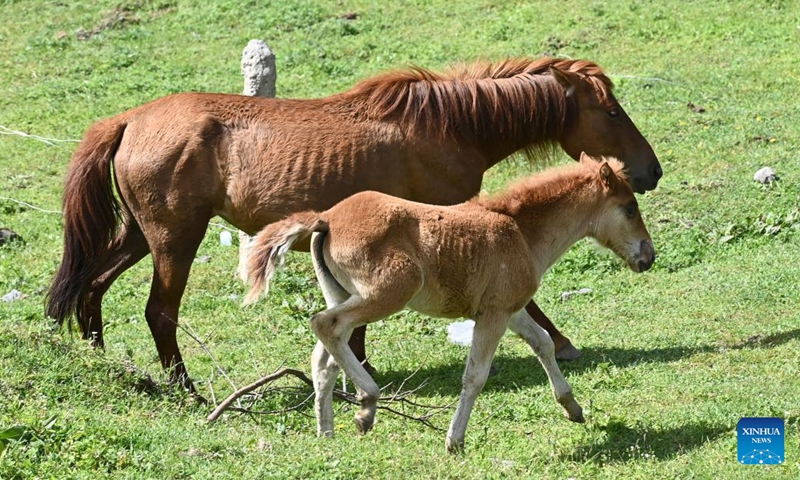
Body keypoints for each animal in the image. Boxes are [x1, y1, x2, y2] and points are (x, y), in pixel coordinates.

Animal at [46, 57, 661, 394]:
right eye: (611, 112)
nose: (650, 171)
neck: (444, 126)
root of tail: (129, 119)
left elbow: (357, 321)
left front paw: (359, 370)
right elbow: (520, 294)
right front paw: (562, 343)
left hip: (138, 236)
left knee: (91, 288)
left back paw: (108, 364)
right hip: (175, 239)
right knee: (159, 311)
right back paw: (187, 391)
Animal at [245, 153, 655, 452]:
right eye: (629, 208)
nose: (648, 257)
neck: (521, 232)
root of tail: (325, 218)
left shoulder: (508, 310)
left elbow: (542, 342)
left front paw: (573, 408)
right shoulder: (492, 316)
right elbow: (476, 375)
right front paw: (454, 440)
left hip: (342, 293)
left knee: (324, 356)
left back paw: (326, 431)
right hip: (388, 292)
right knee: (325, 325)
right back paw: (367, 405)